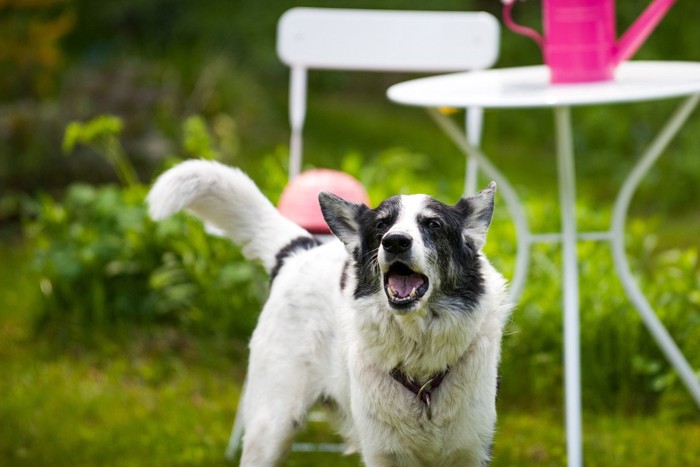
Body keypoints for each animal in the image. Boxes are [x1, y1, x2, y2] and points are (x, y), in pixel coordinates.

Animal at [146, 162, 508, 467]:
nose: (395, 242)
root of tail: (298, 250)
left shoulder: (470, 452)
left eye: (432, 224)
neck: (420, 367)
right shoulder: (384, 454)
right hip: (271, 427)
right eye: (381, 225)